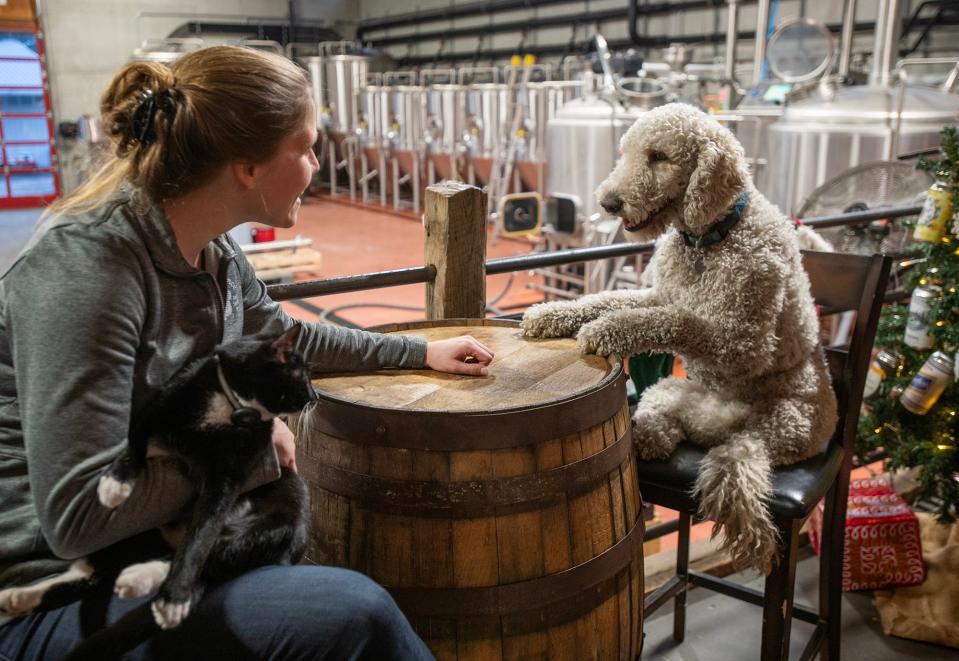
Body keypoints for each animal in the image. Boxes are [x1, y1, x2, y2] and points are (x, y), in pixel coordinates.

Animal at [0, 322, 316, 656]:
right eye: (302, 375)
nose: (315, 397)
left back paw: (145, 583)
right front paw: (115, 483)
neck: (231, 406)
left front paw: (175, 596)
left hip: (279, 523)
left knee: (215, 555)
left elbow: (201, 537)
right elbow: (134, 443)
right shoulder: (154, 411)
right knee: (100, 573)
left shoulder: (228, 478)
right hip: (136, 532)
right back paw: (22, 597)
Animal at [524, 104, 840, 572]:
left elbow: (675, 319)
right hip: (669, 391)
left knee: (739, 455)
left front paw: (607, 330)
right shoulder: (657, 292)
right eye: (626, 152)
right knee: (667, 423)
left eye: (658, 156)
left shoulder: (741, 341)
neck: (708, 239)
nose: (608, 202)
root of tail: (723, 426)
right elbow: (610, 298)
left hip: (781, 423)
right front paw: (553, 314)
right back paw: (650, 435)